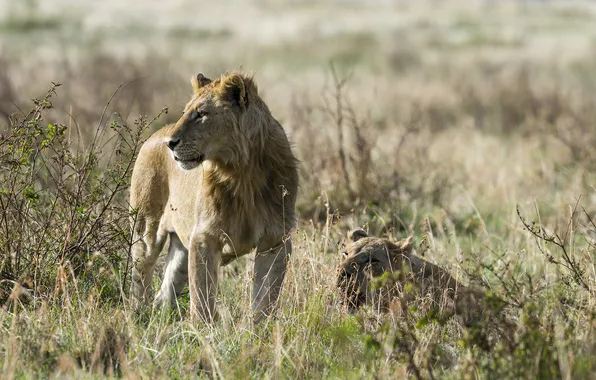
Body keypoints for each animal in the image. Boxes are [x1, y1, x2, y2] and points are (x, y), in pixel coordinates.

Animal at [129, 70, 298, 322]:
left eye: (201, 114)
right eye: (185, 112)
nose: (170, 143)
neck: (241, 171)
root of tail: (153, 136)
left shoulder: (275, 239)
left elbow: (266, 297)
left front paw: (258, 329)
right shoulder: (204, 237)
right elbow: (202, 295)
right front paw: (202, 330)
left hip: (181, 248)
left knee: (164, 294)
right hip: (147, 229)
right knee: (140, 277)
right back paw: (137, 315)